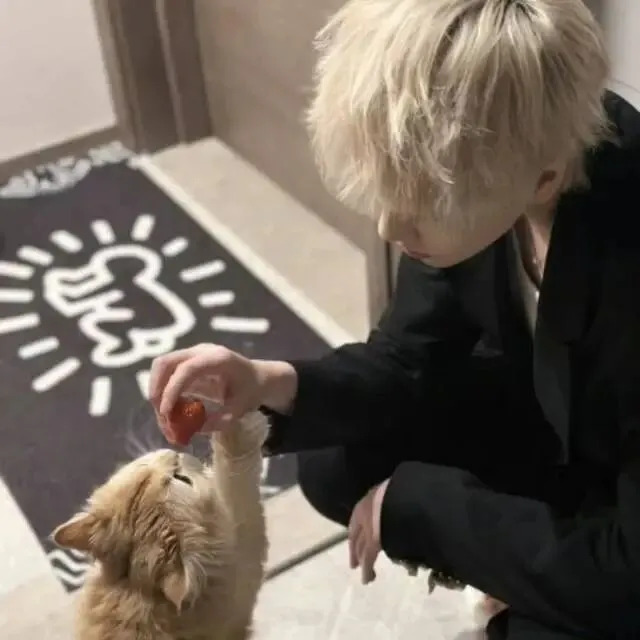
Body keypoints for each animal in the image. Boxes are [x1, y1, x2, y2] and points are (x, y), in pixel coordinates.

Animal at [52, 411, 269, 640]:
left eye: (144, 475)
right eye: (182, 479)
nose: (175, 456)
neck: (137, 590)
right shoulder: (243, 546)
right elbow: (234, 475)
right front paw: (242, 428)